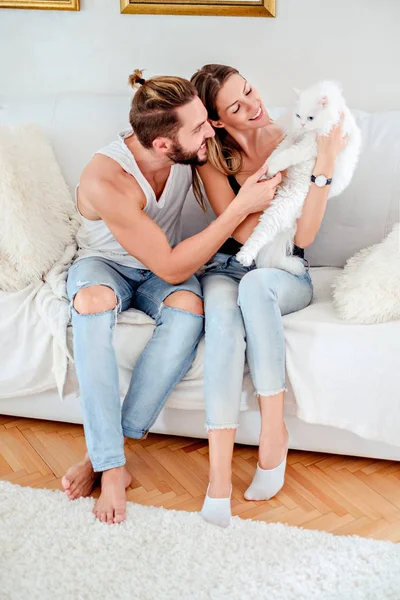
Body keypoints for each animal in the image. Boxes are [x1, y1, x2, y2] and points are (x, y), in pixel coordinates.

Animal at [236, 81, 364, 276]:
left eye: (310, 118)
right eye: (298, 116)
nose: (303, 124)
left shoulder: (310, 144)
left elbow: (286, 156)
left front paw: (271, 169)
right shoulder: (293, 137)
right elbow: (278, 152)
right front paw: (266, 169)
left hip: (281, 207)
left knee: (262, 234)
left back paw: (244, 257)